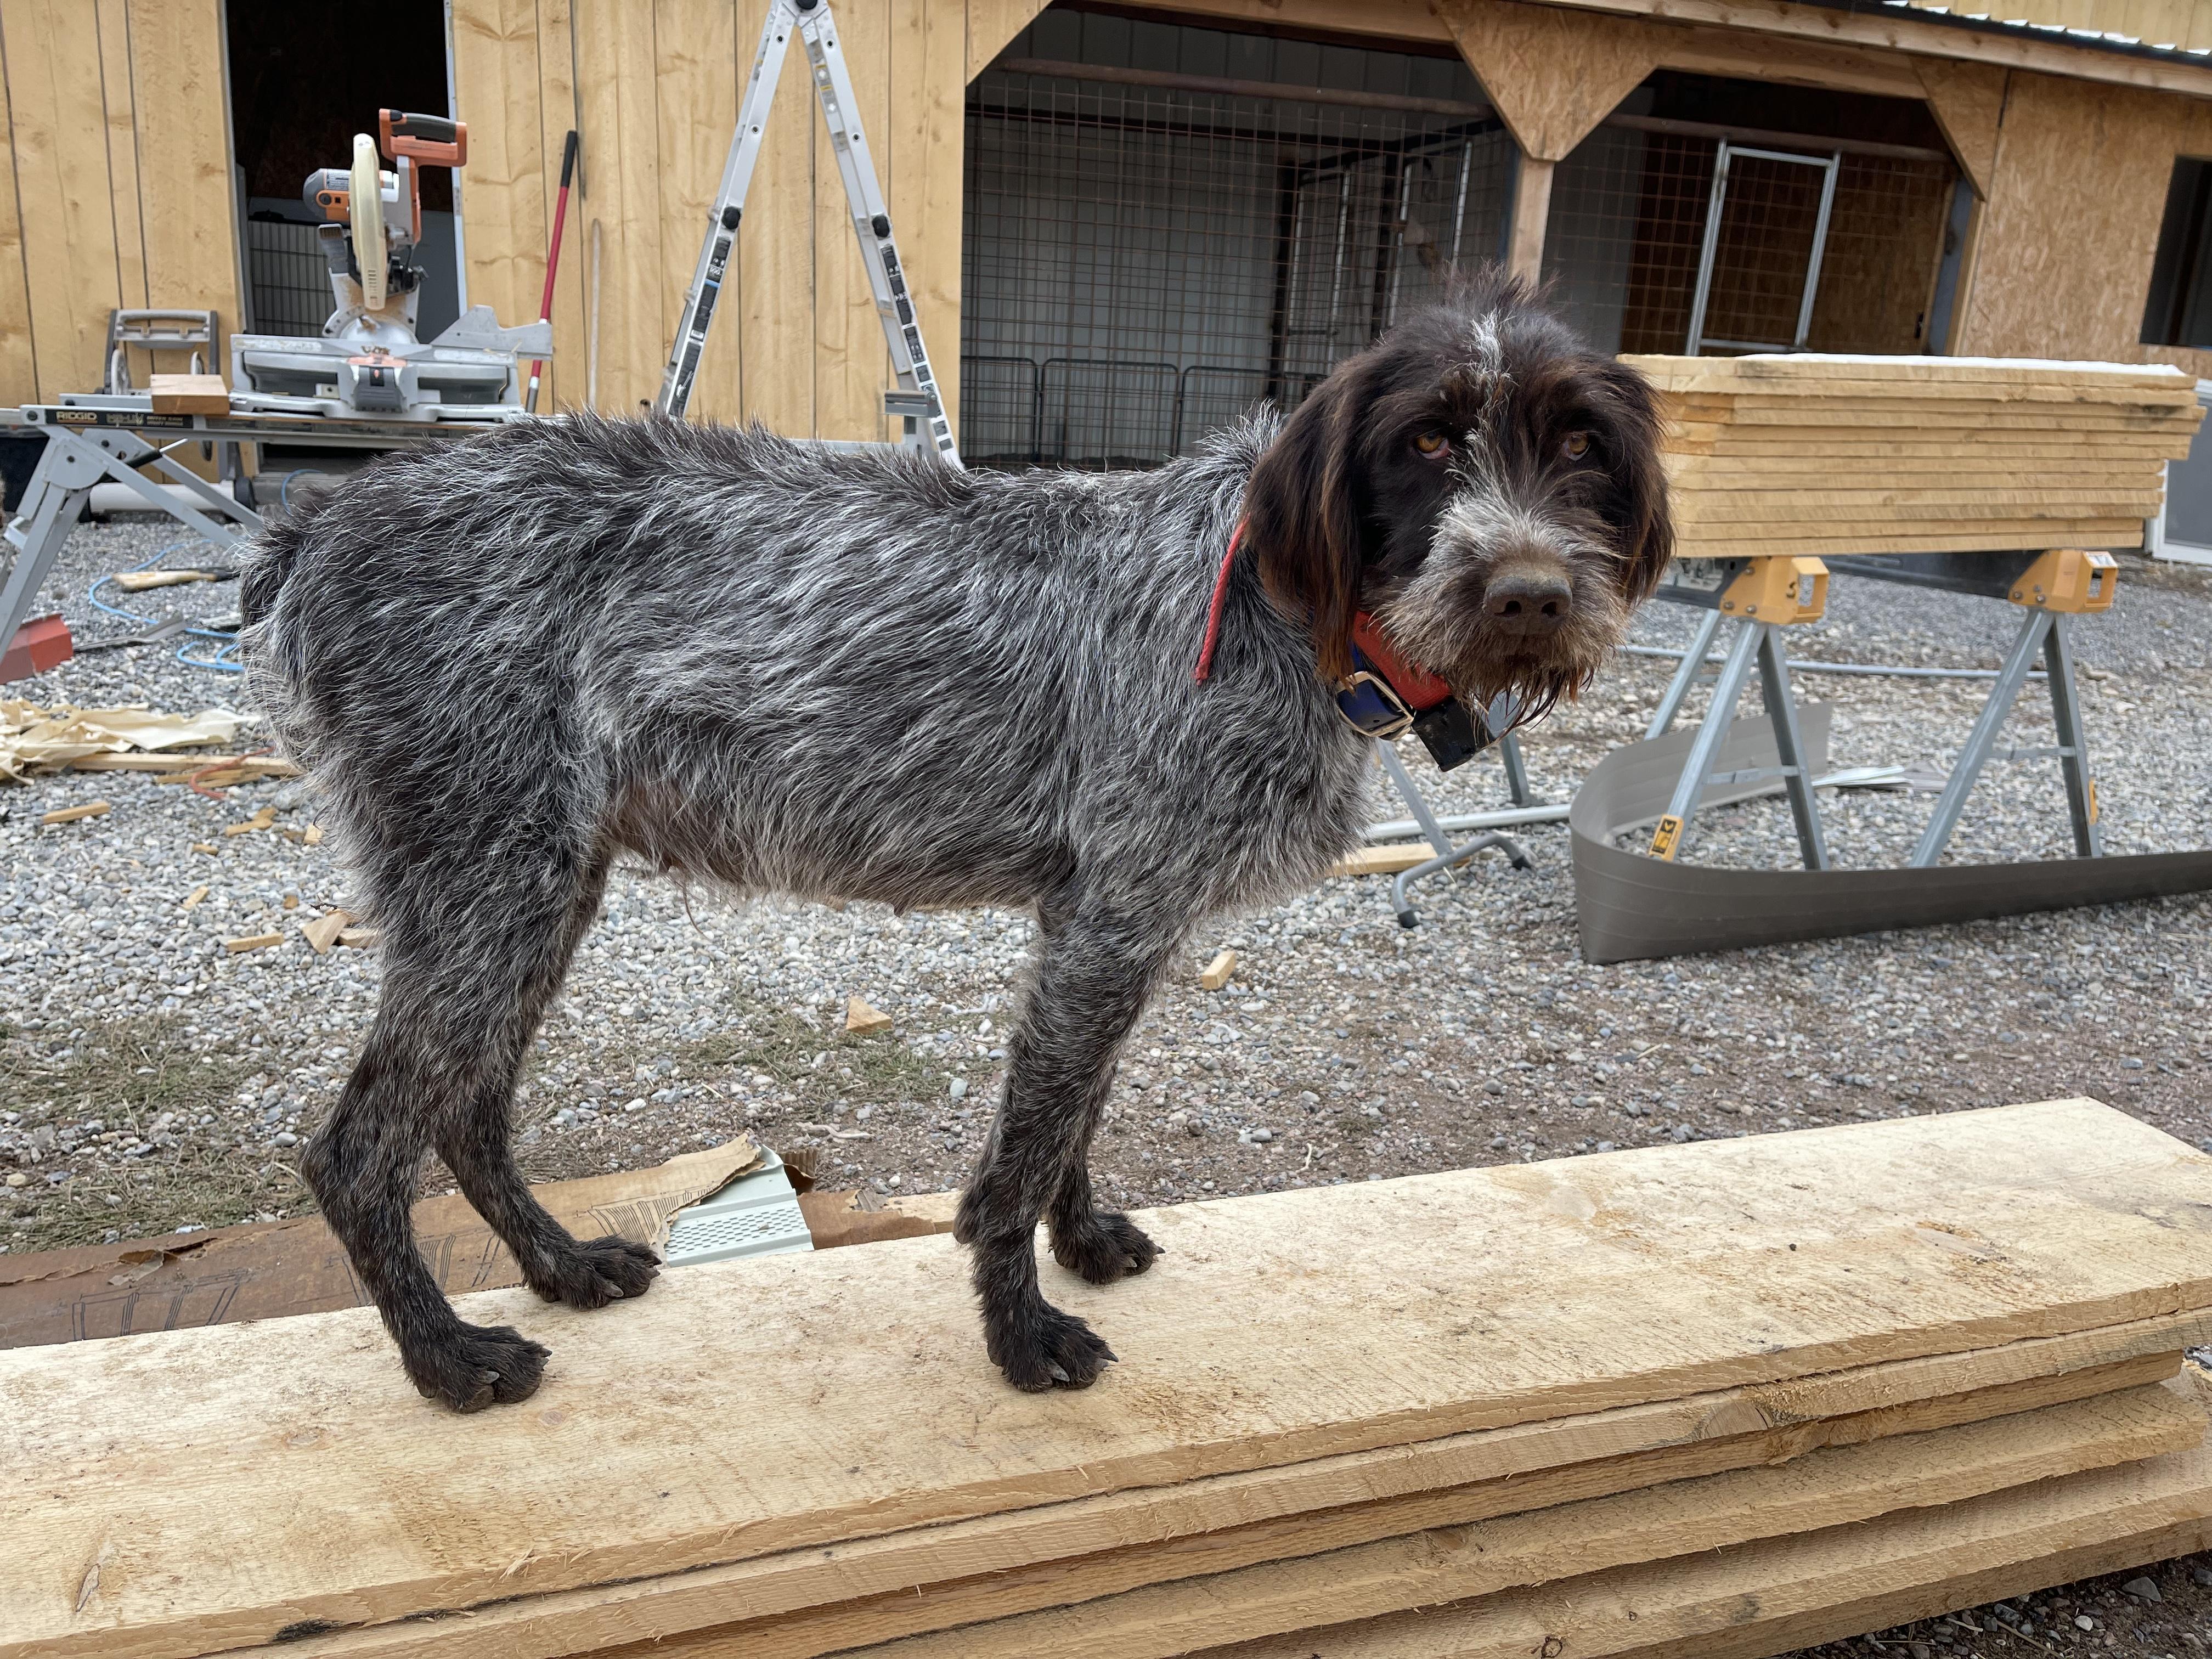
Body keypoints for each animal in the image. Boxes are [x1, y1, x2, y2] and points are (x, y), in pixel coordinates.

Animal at [239, 272, 1671, 1410]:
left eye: (1582, 445)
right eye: (1426, 439)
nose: (1530, 594)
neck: (1278, 605)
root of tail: (321, 527)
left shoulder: (1106, 920)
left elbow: (1077, 1109)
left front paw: (1080, 1243)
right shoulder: (1115, 917)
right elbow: (1020, 1156)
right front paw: (1022, 1330)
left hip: (533, 879)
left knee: (466, 1110)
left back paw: (559, 1266)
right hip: (494, 875)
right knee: (359, 1150)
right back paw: (446, 1358)